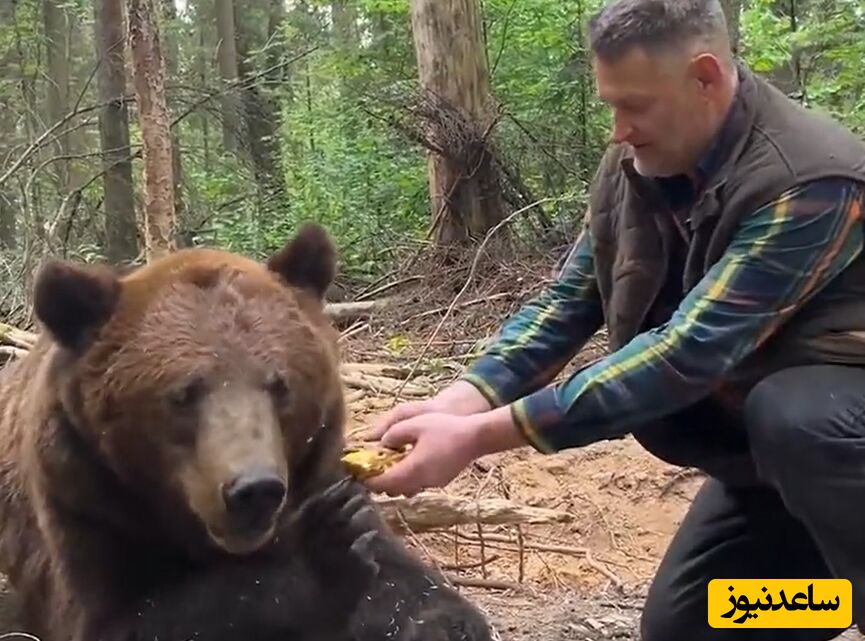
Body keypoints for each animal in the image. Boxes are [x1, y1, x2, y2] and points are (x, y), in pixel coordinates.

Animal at [0, 224, 492, 640]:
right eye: (183, 393)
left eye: (279, 385)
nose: (254, 490)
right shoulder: (87, 504)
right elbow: (129, 621)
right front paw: (323, 555)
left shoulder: (322, 476)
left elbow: (411, 590)